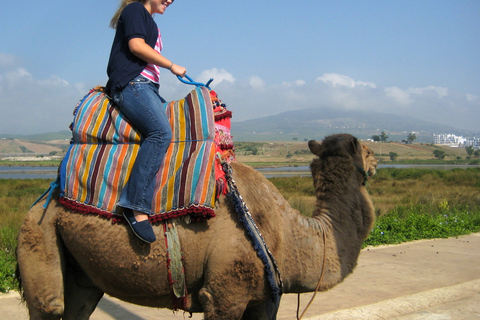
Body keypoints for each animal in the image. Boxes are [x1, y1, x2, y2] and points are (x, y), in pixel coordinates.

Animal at [15, 133, 378, 320]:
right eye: (368, 149)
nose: (376, 162)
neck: (289, 234)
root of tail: (41, 199)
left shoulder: (265, 298)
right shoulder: (224, 294)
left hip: (79, 270)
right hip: (38, 232)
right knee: (49, 304)